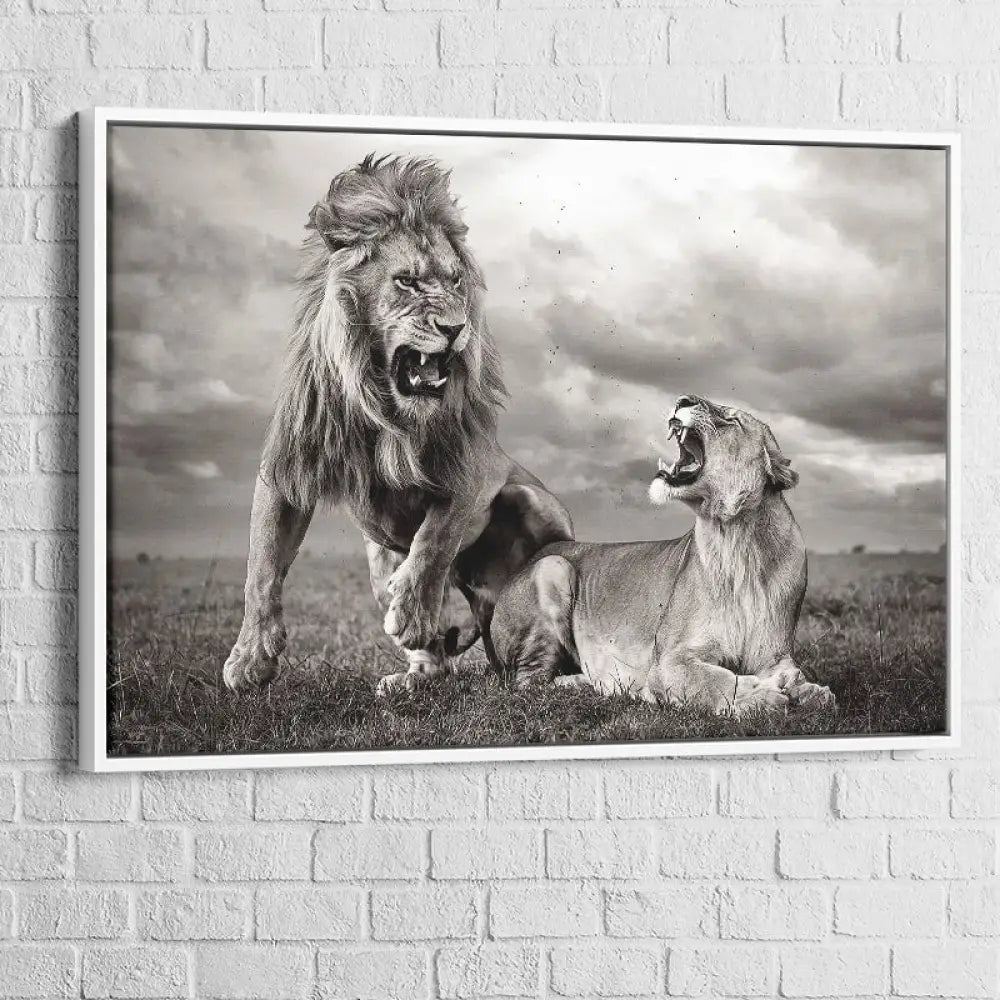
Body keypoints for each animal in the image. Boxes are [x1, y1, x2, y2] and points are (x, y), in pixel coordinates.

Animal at [223, 155, 572, 694]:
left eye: (455, 282)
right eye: (406, 281)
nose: (455, 328)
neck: (386, 409)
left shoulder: (473, 463)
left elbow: (437, 536)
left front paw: (411, 611)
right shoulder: (287, 467)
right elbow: (260, 566)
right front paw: (250, 657)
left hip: (529, 500)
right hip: (378, 557)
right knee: (437, 648)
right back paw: (416, 675)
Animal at [489, 394, 835, 717]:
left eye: (731, 419)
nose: (683, 399)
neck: (738, 541)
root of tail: (536, 555)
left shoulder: (774, 654)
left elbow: (797, 676)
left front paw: (809, 690)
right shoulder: (669, 660)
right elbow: (713, 680)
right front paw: (759, 695)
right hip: (553, 567)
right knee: (528, 682)